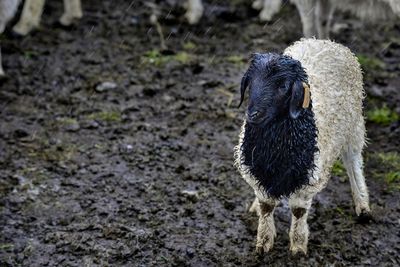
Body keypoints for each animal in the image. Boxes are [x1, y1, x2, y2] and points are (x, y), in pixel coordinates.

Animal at [234, 38, 372, 255]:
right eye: (251, 82)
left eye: (283, 86)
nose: (253, 114)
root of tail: (325, 41)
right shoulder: (258, 171)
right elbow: (266, 206)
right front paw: (263, 243)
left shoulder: (309, 178)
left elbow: (299, 211)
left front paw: (298, 246)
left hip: (354, 126)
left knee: (353, 162)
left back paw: (362, 204)